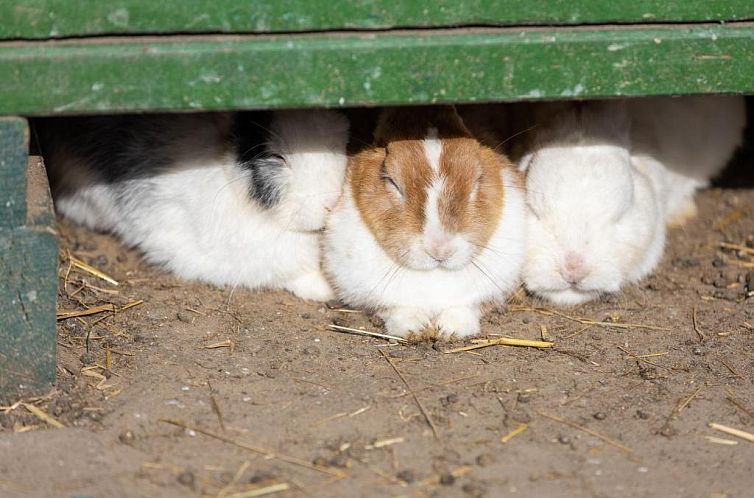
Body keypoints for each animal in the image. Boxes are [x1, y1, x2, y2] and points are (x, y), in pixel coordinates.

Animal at [322, 104, 524, 338]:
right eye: (391, 181)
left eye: (477, 179)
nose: (440, 249)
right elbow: (395, 309)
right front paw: (414, 327)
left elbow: (467, 308)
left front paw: (451, 329)